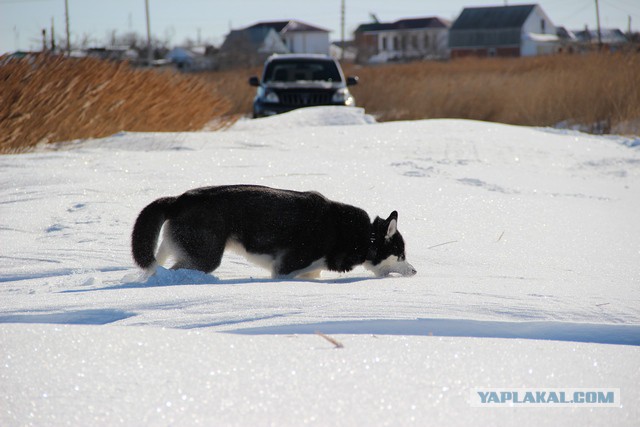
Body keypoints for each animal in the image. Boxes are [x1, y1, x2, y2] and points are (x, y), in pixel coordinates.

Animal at [132, 185, 418, 280]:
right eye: (401, 255)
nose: (415, 271)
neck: (363, 236)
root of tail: (179, 199)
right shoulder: (284, 270)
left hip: (170, 247)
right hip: (205, 256)